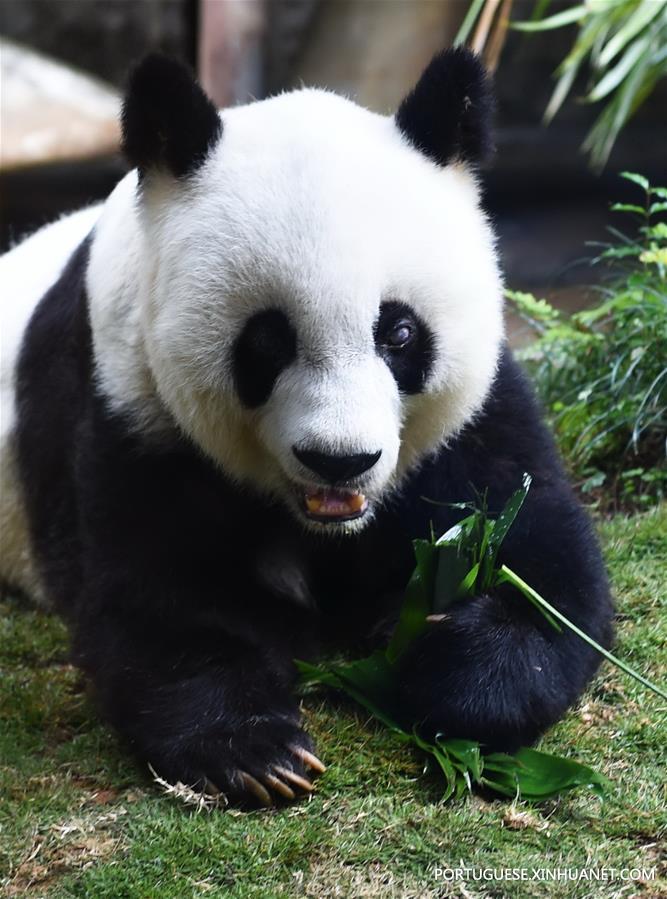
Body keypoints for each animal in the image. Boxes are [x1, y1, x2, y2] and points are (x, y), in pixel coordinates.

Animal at [0, 49, 613, 807]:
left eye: (399, 331)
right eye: (267, 342)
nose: (339, 460)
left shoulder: (478, 410)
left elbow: (541, 559)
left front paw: (444, 671)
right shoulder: (132, 400)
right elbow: (155, 597)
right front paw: (255, 749)